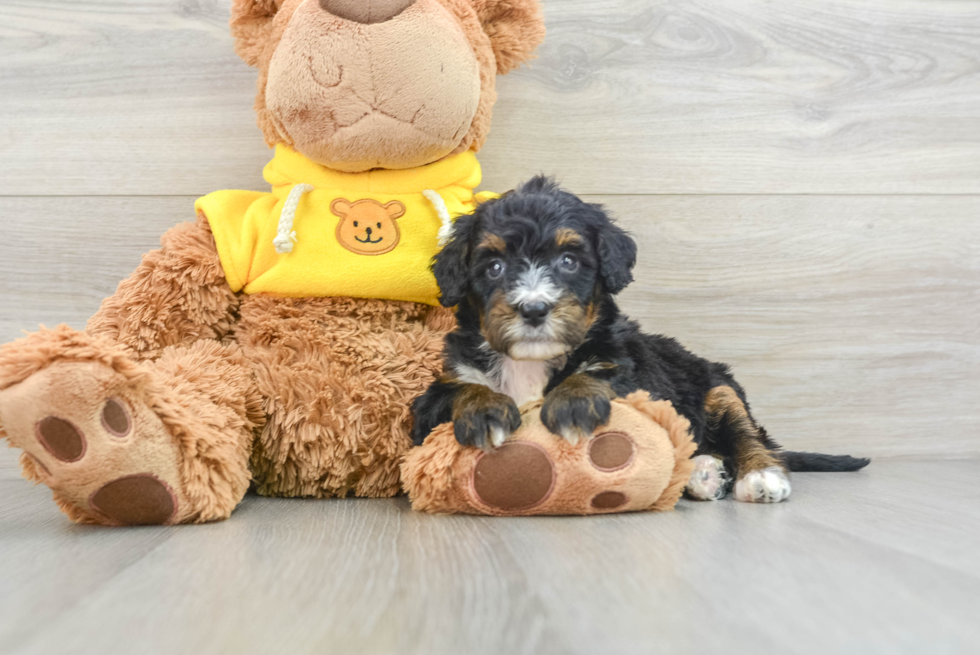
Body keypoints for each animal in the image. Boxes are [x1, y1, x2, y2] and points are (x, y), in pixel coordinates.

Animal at [410, 177, 868, 504]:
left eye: (569, 260)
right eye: (494, 267)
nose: (534, 309)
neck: (531, 363)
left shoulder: (632, 371)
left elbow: (600, 371)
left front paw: (574, 402)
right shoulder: (431, 400)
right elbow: (459, 389)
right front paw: (485, 411)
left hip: (719, 386)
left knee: (746, 435)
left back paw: (759, 476)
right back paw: (704, 475)